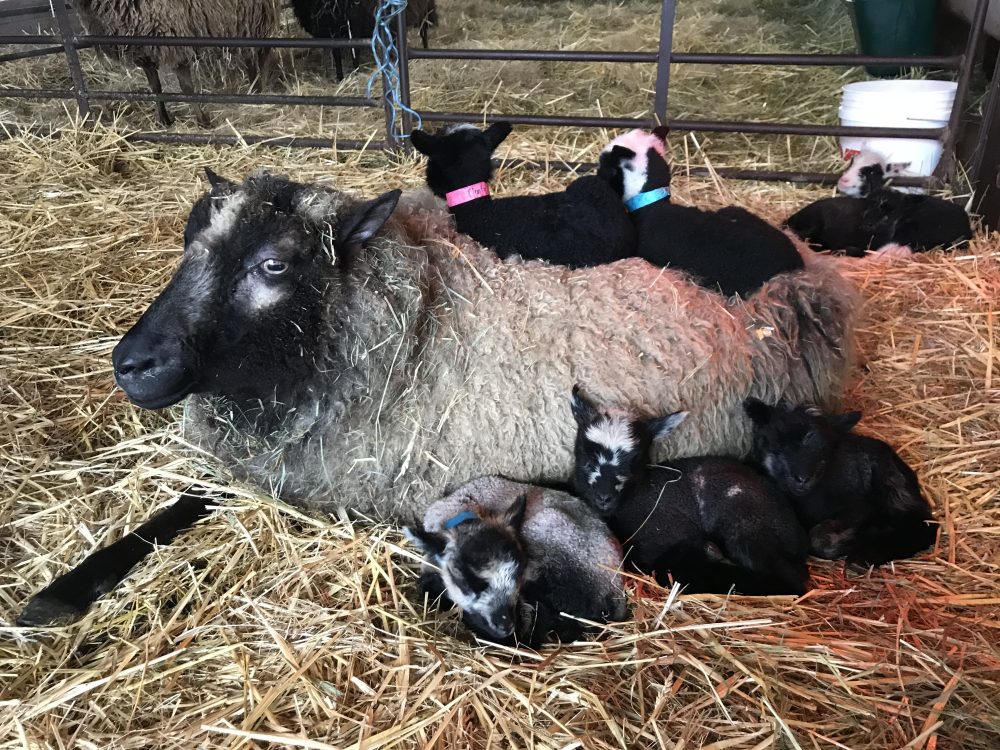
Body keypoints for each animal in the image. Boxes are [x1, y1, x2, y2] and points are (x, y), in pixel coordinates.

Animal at [76, 0, 279, 127]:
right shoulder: (145, 51)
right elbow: (155, 88)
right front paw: (163, 120)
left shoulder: (176, 42)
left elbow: (186, 88)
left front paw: (203, 121)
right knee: (251, 56)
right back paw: (255, 89)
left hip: (256, 15)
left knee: (262, 53)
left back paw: (262, 91)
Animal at [291, 0, 437, 81]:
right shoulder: (331, 28)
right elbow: (337, 54)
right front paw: (340, 78)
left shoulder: (355, 25)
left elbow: (355, 53)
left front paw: (355, 74)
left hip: (424, 9)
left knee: (423, 30)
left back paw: (425, 51)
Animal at [569, 387, 810, 595]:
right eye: (586, 456)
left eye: (634, 462)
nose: (604, 497)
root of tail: (797, 534)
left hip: (748, 527)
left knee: (791, 578)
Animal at [744, 398, 938, 566]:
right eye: (777, 446)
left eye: (824, 450)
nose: (803, 478)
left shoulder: (859, 507)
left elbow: (818, 539)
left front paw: (855, 540)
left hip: (890, 483)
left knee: (922, 524)